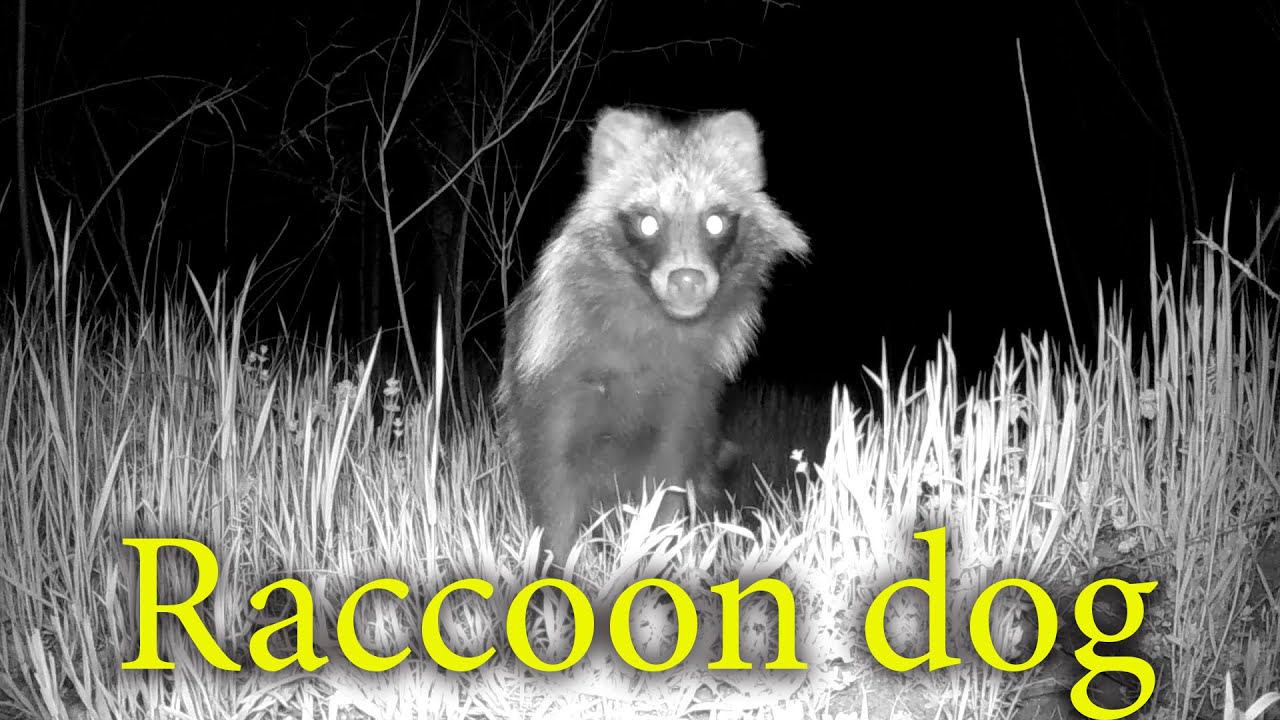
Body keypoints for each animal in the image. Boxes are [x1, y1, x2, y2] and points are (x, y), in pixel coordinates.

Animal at [498, 107, 807, 569]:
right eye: (647, 222)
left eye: (715, 221)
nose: (687, 280)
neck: (654, 322)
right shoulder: (554, 387)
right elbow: (552, 486)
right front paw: (555, 565)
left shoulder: (687, 402)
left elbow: (667, 490)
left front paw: (656, 556)